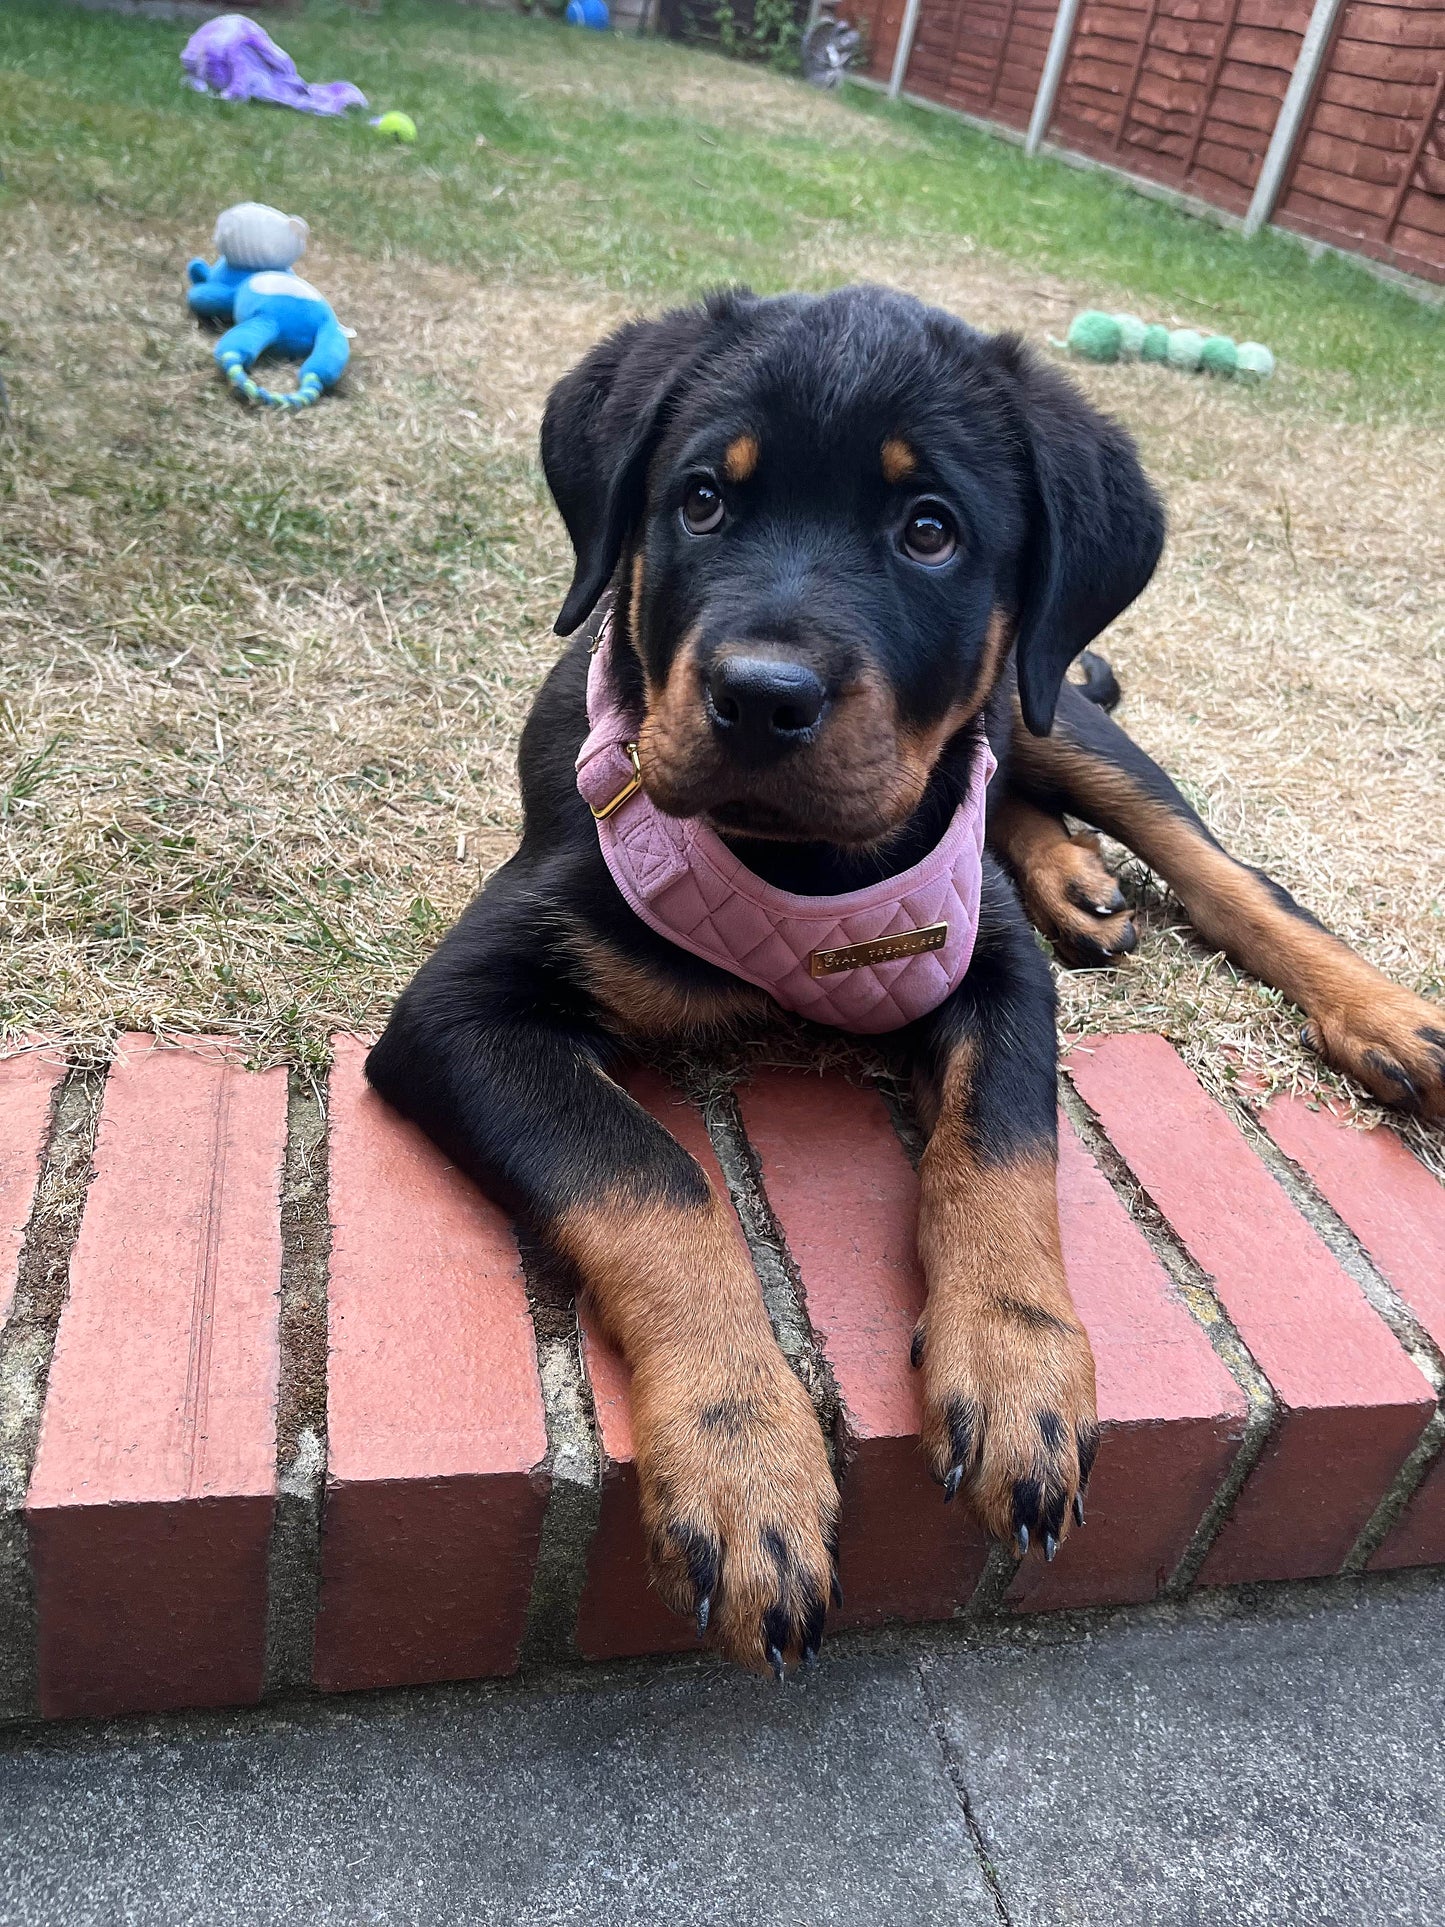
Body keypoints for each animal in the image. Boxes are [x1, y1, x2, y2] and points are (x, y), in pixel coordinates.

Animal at [373, 281, 1445, 1672]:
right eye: (701, 500)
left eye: (928, 530)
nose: (759, 697)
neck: (801, 868)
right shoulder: (456, 1010)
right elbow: (649, 1177)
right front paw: (742, 1458)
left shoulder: (993, 971)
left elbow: (997, 1142)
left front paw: (1016, 1367)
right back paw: (1078, 885)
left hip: (1061, 713)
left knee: (1210, 862)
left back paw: (1380, 1015)